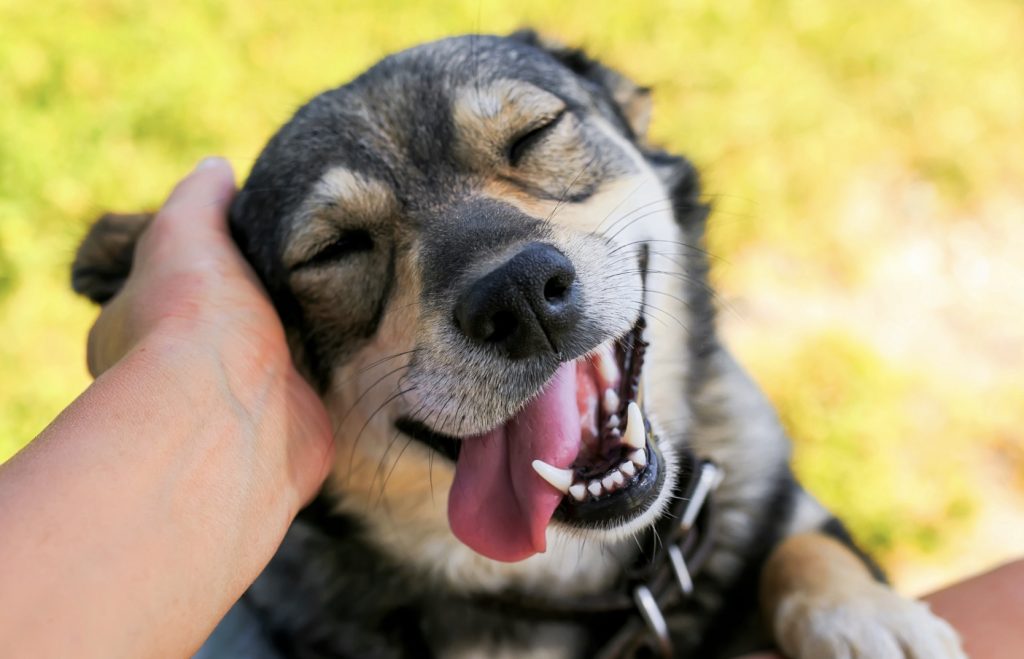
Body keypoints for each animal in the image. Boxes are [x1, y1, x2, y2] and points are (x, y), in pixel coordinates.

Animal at [72, 32, 966, 659]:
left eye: (536, 134)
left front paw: (864, 614)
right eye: (334, 250)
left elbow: (806, 547)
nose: (519, 295)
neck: (597, 583)